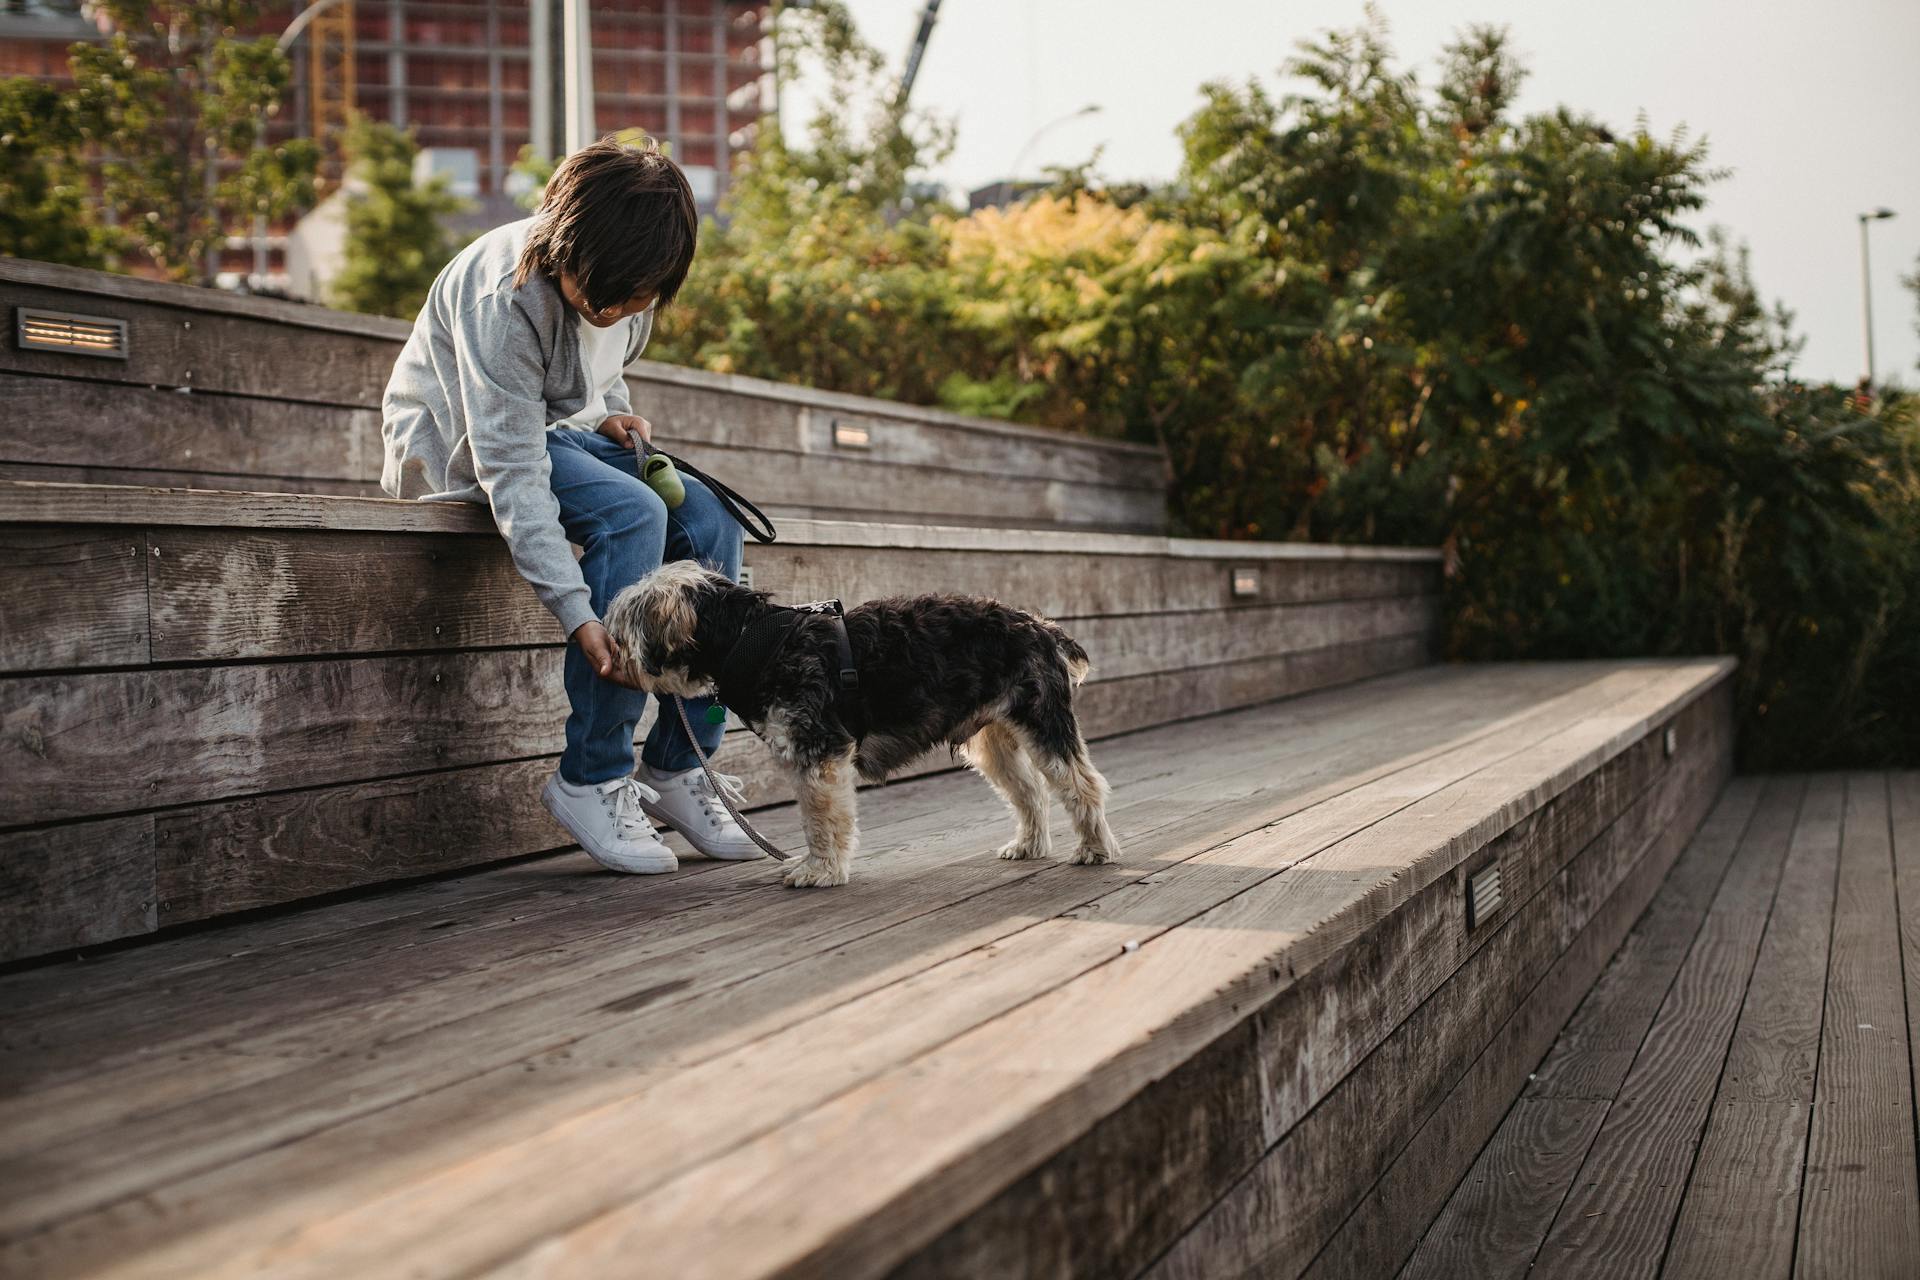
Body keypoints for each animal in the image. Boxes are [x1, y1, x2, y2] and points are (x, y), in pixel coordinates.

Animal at [606, 564, 1121, 886]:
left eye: (623, 621)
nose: (606, 648)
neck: (753, 641)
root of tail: (1041, 627)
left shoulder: (821, 753)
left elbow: (822, 819)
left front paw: (820, 871)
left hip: (1044, 724)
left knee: (1084, 785)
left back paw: (1096, 850)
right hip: (994, 743)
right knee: (1030, 792)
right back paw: (1031, 845)